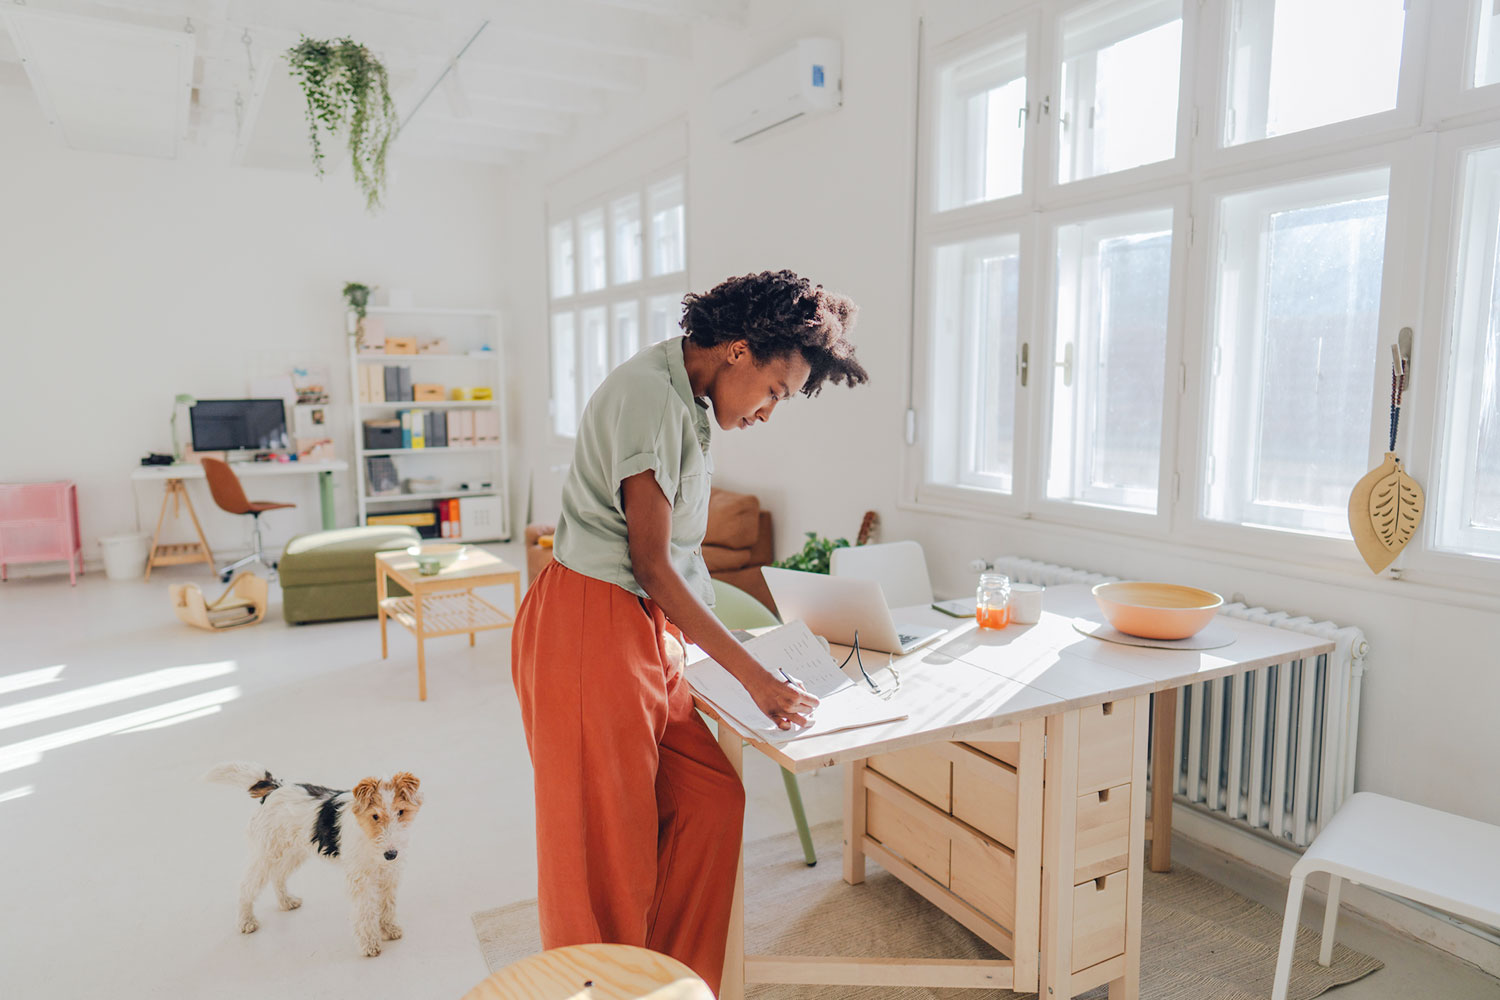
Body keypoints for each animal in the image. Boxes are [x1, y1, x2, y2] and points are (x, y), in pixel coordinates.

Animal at [207, 761, 423, 959]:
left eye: (401, 812)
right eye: (375, 816)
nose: (391, 854)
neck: (367, 835)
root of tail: (275, 787)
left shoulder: (390, 875)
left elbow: (387, 905)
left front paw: (390, 929)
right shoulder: (360, 879)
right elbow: (365, 911)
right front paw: (369, 944)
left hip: (292, 852)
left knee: (277, 876)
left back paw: (287, 901)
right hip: (266, 853)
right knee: (246, 886)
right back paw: (246, 922)